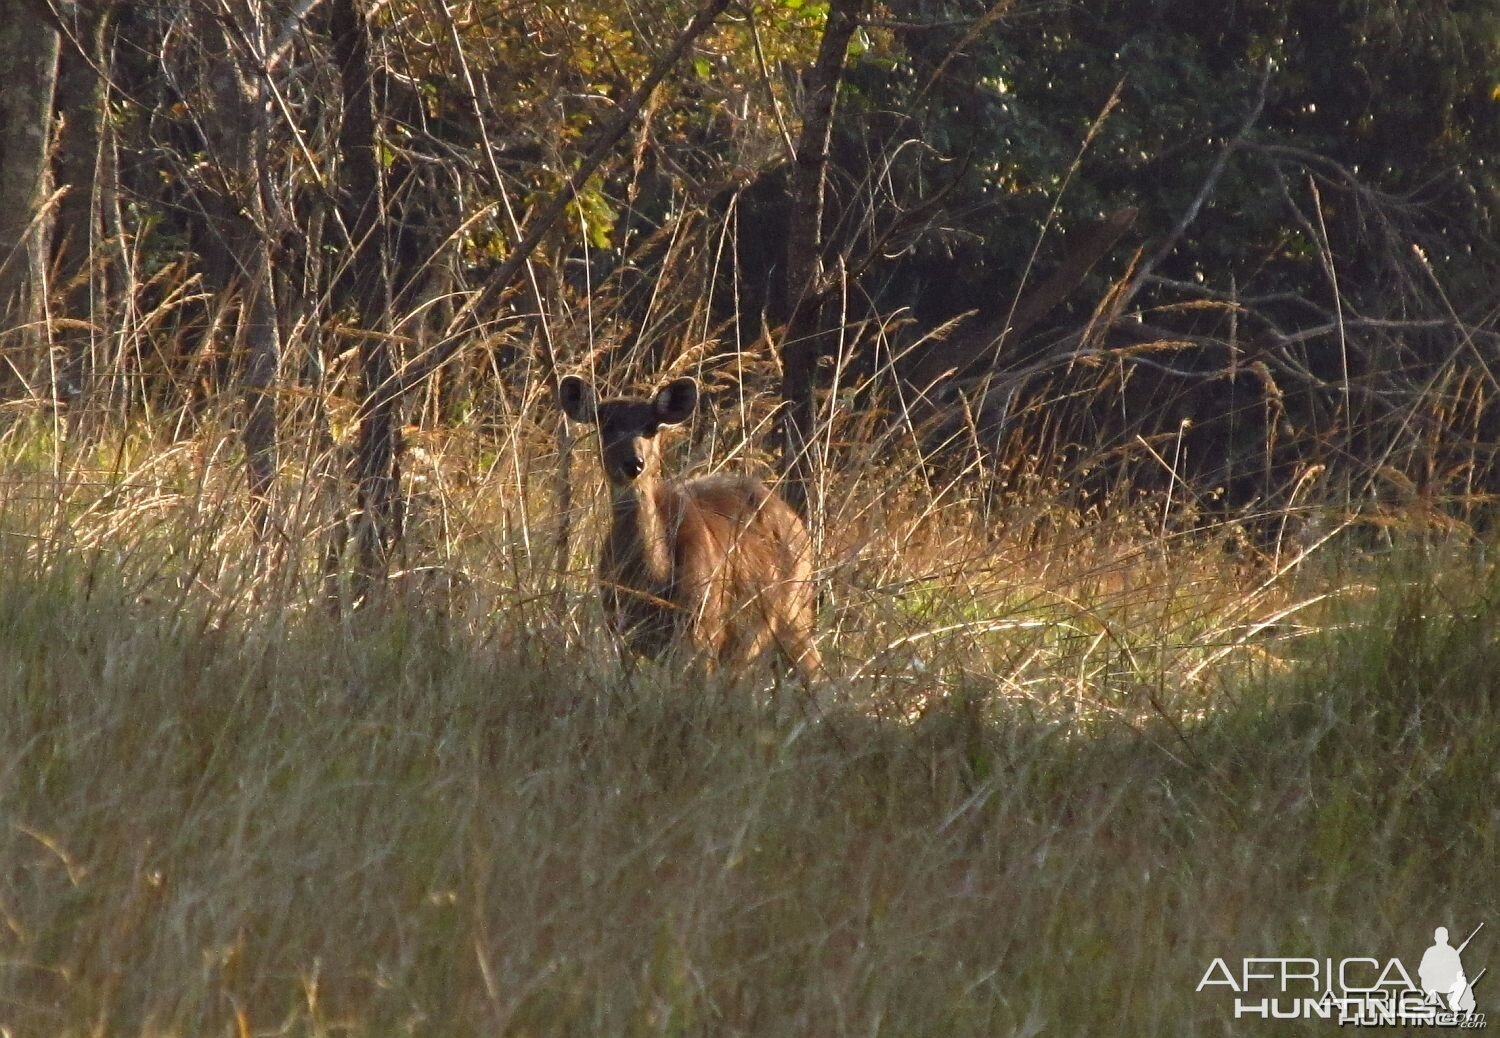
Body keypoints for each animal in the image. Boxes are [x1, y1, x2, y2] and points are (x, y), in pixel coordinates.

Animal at [561, 376, 822, 684]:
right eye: (606, 425)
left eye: (652, 426)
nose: (634, 463)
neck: (654, 580)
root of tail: (795, 520)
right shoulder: (618, 627)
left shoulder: (701, 628)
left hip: (794, 606)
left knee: (811, 667)